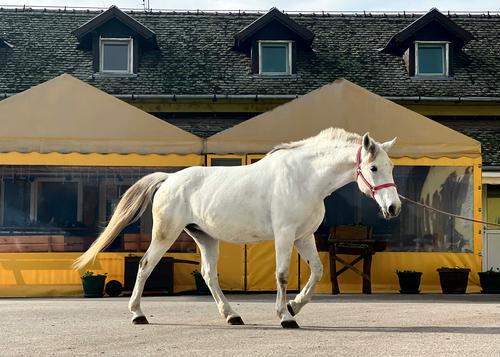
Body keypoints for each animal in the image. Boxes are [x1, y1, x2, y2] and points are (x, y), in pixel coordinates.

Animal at [74, 127, 400, 328]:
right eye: (373, 168)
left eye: (392, 168)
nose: (393, 208)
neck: (305, 177)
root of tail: (169, 179)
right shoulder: (284, 235)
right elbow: (282, 275)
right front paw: (285, 316)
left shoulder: (304, 236)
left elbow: (317, 272)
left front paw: (294, 306)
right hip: (166, 234)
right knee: (144, 265)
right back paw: (138, 314)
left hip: (205, 238)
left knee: (208, 275)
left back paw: (232, 315)